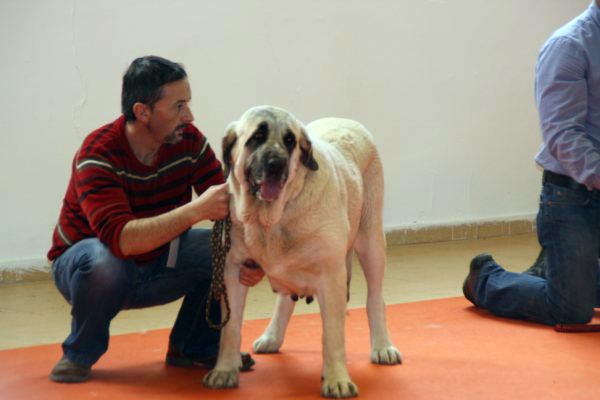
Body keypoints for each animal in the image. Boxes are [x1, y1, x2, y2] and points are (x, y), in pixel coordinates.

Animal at [204, 105, 400, 396]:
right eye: (257, 136)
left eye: (290, 141)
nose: (276, 164)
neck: (272, 220)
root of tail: (347, 121)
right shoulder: (232, 270)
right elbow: (230, 328)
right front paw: (225, 371)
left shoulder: (331, 276)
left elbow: (332, 335)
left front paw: (337, 380)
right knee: (286, 298)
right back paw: (272, 336)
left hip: (371, 241)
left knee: (375, 298)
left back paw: (382, 346)